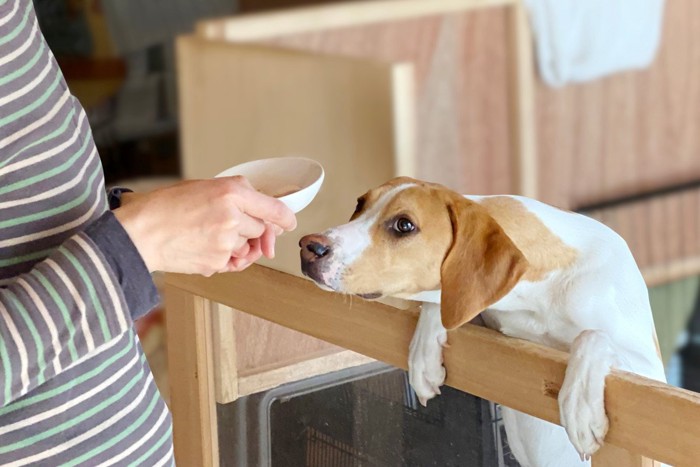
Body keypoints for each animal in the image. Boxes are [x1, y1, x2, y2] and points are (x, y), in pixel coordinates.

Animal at [296, 177, 668, 466]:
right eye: (360, 204)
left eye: (404, 225)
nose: (309, 246)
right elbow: (444, 306)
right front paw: (424, 352)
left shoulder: (649, 378)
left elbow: (592, 336)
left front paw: (578, 404)